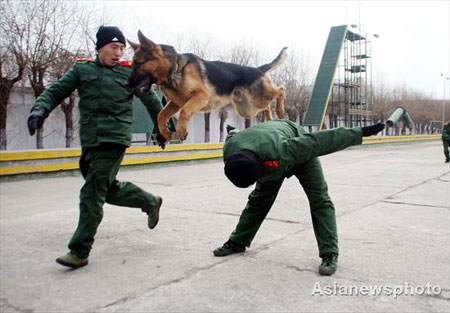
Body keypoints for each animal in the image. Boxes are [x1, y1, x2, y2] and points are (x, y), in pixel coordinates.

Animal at [125, 30, 288, 140]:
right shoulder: (176, 103)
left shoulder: (201, 96)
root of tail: (258, 69)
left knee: (281, 90)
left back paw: (280, 110)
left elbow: (185, 111)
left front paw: (181, 131)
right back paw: (269, 118)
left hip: (257, 99)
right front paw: (165, 132)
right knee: (267, 106)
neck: (175, 68)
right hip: (249, 109)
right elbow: (161, 115)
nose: (126, 84)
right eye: (133, 64)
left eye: (139, 64)